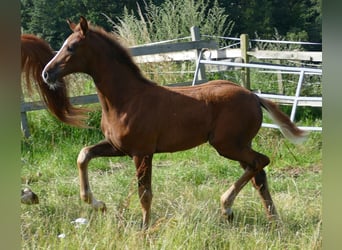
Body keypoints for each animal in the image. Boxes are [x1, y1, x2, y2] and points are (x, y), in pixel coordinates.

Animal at [41, 16, 308, 229]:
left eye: (72, 47)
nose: (46, 73)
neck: (126, 98)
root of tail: (254, 96)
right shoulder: (118, 147)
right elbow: (84, 155)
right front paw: (96, 203)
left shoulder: (142, 152)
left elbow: (144, 194)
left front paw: (145, 229)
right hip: (239, 145)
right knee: (258, 174)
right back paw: (272, 221)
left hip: (227, 145)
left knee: (260, 162)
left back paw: (227, 206)